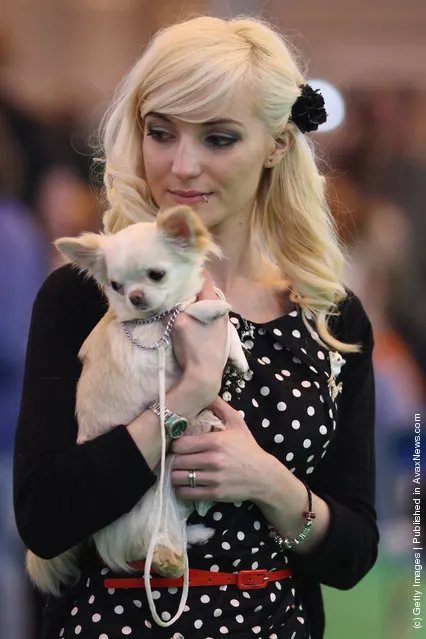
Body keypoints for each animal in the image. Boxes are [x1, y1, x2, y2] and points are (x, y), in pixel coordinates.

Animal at [26, 206, 248, 600]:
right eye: (116, 286)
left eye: (156, 275)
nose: (136, 297)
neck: (154, 315)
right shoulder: (164, 334)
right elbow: (190, 311)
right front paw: (214, 306)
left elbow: (223, 330)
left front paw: (238, 354)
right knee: (147, 548)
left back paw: (196, 530)